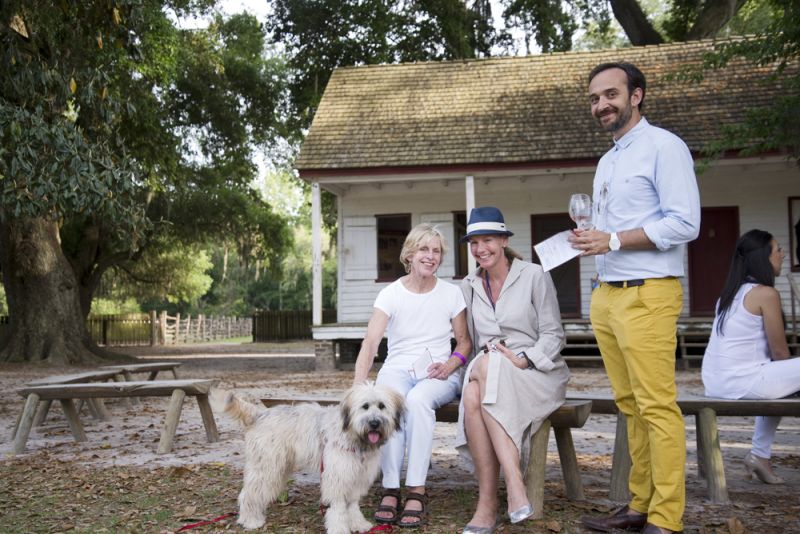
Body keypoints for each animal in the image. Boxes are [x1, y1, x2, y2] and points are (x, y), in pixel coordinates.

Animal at [222, 384, 404, 532]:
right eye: (365, 406)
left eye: (382, 406)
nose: (374, 423)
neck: (354, 436)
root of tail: (262, 413)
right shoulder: (338, 475)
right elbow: (338, 506)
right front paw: (339, 528)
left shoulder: (358, 476)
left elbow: (352, 505)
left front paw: (358, 524)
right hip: (267, 465)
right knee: (248, 493)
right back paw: (250, 520)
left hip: (279, 466)